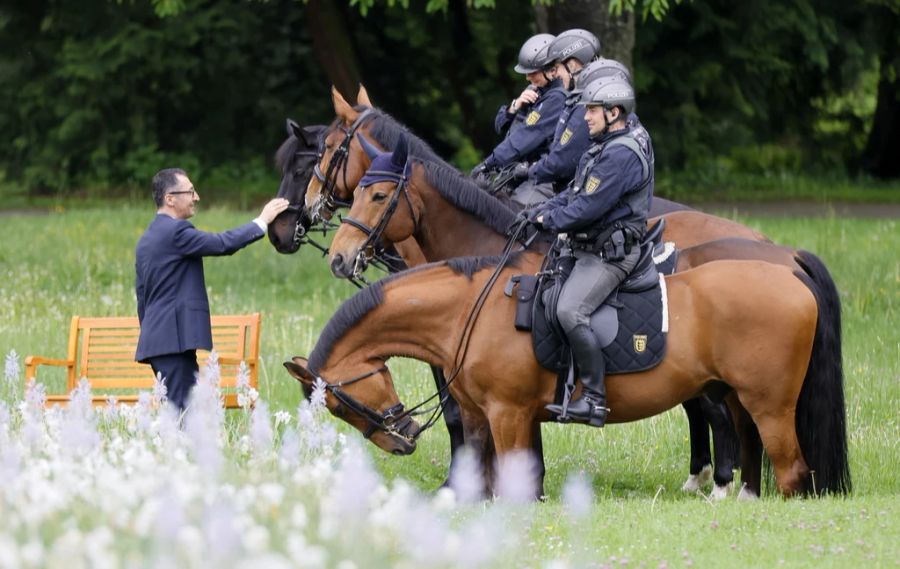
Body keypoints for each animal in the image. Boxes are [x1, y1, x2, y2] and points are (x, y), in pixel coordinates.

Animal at [286, 253, 852, 496]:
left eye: (336, 402)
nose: (400, 438)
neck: (469, 310)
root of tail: (789, 273)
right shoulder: (478, 415)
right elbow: (479, 471)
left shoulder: (509, 414)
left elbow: (513, 473)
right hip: (736, 399)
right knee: (752, 452)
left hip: (771, 404)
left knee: (793, 471)